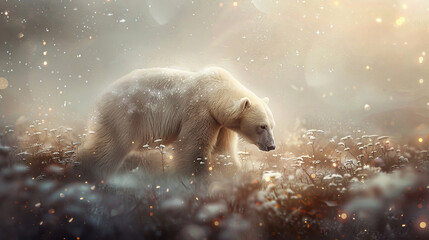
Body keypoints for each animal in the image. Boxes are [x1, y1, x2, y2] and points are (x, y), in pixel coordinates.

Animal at [79, 67, 276, 180]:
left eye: (272, 126)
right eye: (262, 126)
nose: (272, 146)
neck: (214, 92)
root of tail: (98, 99)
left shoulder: (220, 124)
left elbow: (223, 152)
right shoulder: (199, 112)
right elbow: (192, 149)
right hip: (124, 117)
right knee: (110, 147)